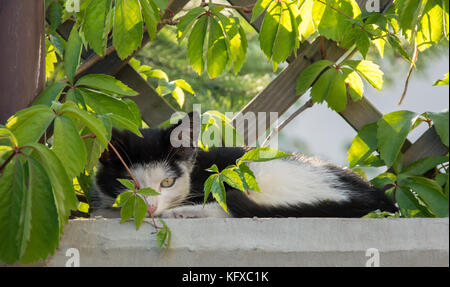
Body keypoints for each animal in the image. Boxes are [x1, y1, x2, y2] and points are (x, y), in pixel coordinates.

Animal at [92, 113, 398, 219]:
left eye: (167, 183)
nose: (151, 207)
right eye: (129, 183)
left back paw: (185, 212)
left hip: (253, 172)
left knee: (231, 206)